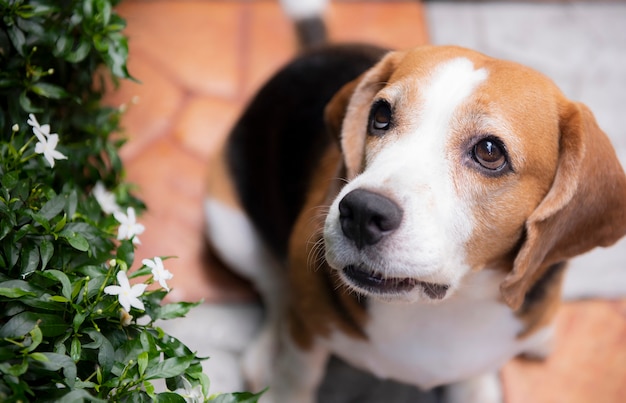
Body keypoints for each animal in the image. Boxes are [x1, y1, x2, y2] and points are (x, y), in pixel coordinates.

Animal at [204, 44, 624, 403]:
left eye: (490, 152)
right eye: (380, 116)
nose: (361, 213)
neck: (443, 305)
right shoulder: (308, 332)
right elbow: (296, 374)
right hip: (227, 227)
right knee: (275, 287)